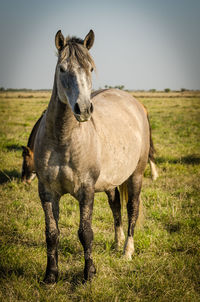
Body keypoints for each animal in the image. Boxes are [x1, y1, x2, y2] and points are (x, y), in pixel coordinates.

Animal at [34, 29, 152, 282]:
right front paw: (51, 275)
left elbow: (85, 232)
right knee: (116, 206)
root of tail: (133, 102)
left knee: (132, 208)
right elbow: (51, 233)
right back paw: (117, 244)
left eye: (90, 68)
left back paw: (127, 252)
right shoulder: (47, 192)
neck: (62, 139)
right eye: (62, 69)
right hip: (111, 182)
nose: (84, 109)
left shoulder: (86, 189)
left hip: (136, 175)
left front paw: (89, 273)